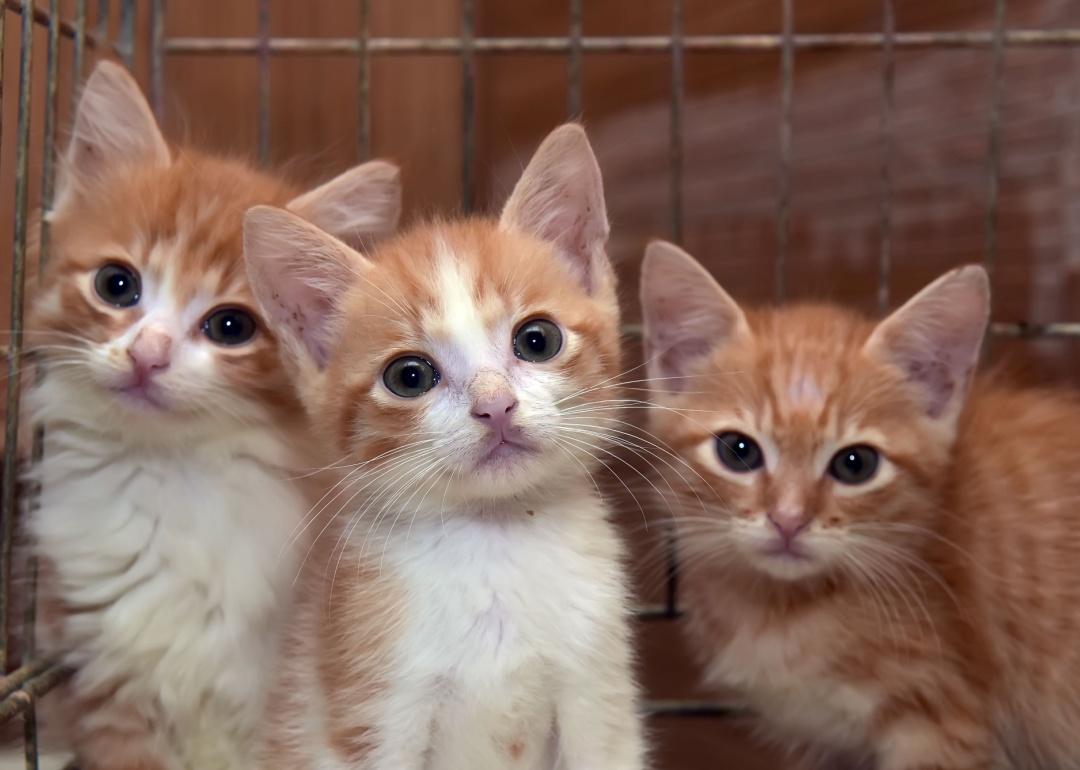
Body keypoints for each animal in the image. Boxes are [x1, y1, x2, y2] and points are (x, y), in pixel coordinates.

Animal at [26, 61, 406, 770]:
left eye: (231, 326)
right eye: (117, 284)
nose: (147, 354)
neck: (176, 480)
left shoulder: (290, 692)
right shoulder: (109, 687)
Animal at [244, 123, 643, 764]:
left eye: (538, 339)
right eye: (409, 377)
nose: (495, 405)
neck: (495, 541)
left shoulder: (596, 691)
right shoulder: (378, 707)